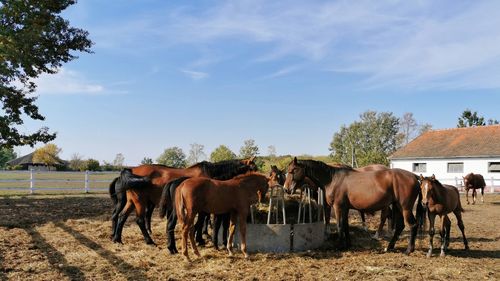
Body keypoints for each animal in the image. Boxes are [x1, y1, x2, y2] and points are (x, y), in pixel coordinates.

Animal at [110, 156, 258, 246]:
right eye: (253, 168)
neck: (211, 175)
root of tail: (131, 169)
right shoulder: (202, 208)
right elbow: (200, 222)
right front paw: (200, 239)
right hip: (140, 201)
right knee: (139, 220)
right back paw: (149, 241)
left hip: (131, 201)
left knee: (122, 216)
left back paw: (117, 239)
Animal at [284, 156, 424, 253]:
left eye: (293, 170)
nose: (286, 189)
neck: (332, 179)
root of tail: (414, 176)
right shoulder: (345, 208)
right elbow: (345, 226)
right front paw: (348, 244)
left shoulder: (338, 207)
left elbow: (340, 226)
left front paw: (339, 246)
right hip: (397, 206)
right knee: (400, 226)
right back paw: (389, 247)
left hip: (405, 208)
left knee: (412, 225)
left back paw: (408, 250)